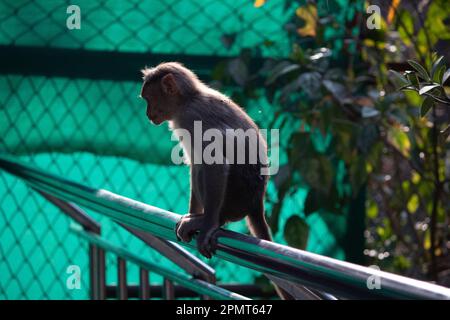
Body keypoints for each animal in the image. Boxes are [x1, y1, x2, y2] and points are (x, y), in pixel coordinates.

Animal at [141, 62, 294, 300]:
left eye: (149, 99)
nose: (148, 114)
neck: (188, 100)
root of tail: (256, 202)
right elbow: (195, 163)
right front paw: (193, 213)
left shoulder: (191, 117)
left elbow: (216, 164)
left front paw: (208, 223)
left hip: (236, 197)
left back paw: (214, 219)